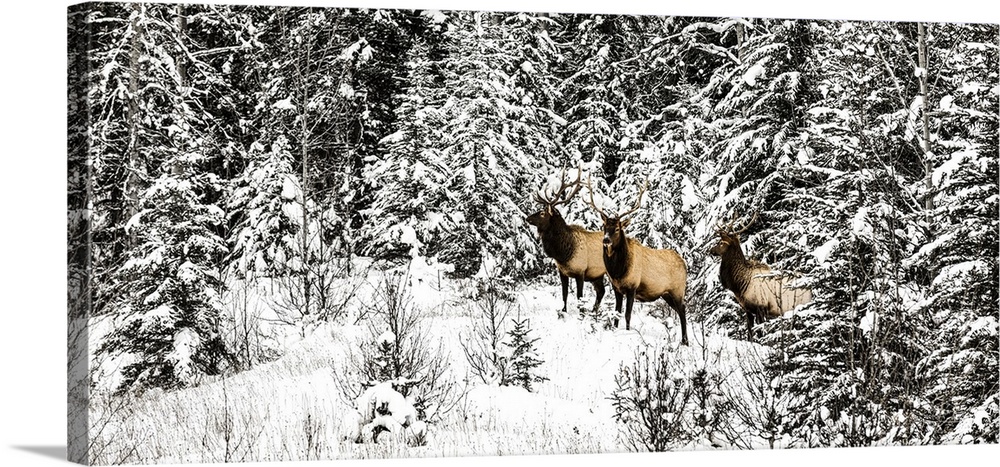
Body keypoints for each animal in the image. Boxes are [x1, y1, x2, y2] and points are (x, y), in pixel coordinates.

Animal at [526, 168, 607, 318]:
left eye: (542, 213)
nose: (527, 218)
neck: (563, 253)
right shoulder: (562, 272)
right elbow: (564, 294)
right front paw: (563, 312)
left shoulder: (580, 272)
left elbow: (579, 296)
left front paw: (581, 315)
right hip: (597, 274)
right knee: (601, 291)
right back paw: (594, 312)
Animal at [585, 178, 689, 345]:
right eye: (604, 226)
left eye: (617, 229)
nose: (606, 240)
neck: (618, 271)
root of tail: (685, 264)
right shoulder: (617, 288)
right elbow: (616, 313)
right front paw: (615, 329)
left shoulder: (632, 287)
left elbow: (627, 314)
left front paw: (628, 333)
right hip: (666, 294)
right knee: (680, 310)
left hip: (678, 290)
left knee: (683, 310)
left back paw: (685, 341)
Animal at [708, 212, 813, 342]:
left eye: (721, 242)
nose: (711, 250)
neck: (740, 285)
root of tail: (812, 289)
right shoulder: (748, 310)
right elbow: (749, 333)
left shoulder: (761, 308)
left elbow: (760, 332)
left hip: (802, 304)